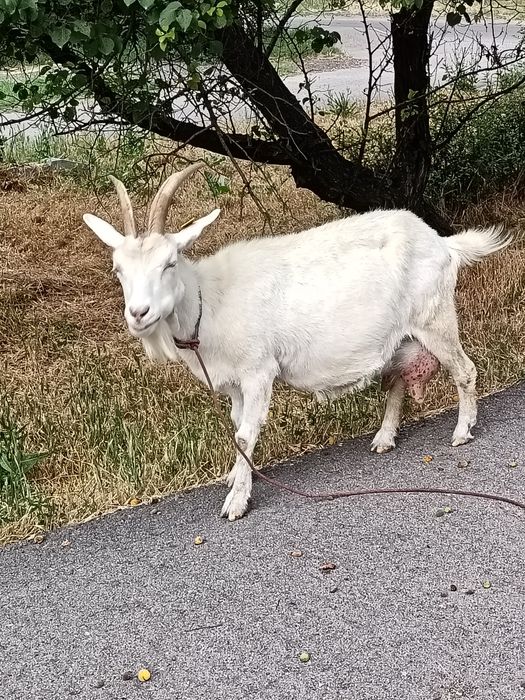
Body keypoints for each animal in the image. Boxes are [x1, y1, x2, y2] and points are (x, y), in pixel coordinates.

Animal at [83, 163, 511, 521]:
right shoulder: (234, 381)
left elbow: (245, 432)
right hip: (401, 334)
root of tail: (443, 244)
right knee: (397, 380)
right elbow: (238, 427)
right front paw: (236, 475)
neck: (210, 301)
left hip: (434, 318)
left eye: (169, 263)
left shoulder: (258, 370)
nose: (138, 313)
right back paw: (384, 438)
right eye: (118, 269)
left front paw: (236, 502)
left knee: (464, 370)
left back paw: (462, 431)